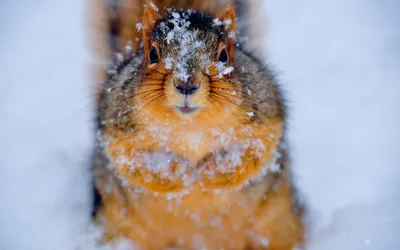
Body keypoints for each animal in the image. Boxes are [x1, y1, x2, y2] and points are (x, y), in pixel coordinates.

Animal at [91, 0, 304, 249]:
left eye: (224, 55)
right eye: (152, 53)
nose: (186, 84)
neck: (190, 126)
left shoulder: (266, 114)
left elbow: (256, 152)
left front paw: (212, 172)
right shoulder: (115, 124)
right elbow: (129, 161)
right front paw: (176, 174)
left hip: (276, 224)